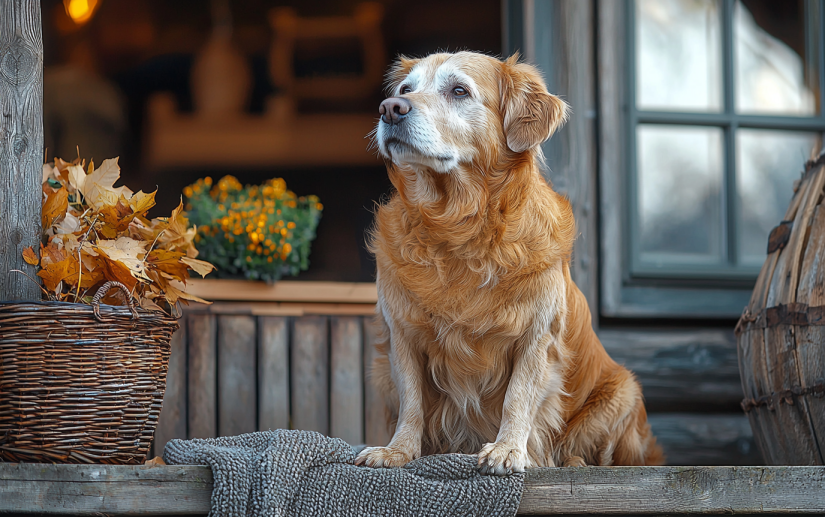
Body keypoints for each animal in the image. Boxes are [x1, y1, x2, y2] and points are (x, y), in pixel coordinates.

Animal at [354, 50, 664, 474]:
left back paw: (573, 462)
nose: (390, 109)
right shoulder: (402, 332)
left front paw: (508, 450)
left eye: (459, 90)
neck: (459, 226)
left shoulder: (536, 336)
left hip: (622, 392)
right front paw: (398, 451)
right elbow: (411, 401)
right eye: (405, 90)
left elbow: (518, 397)